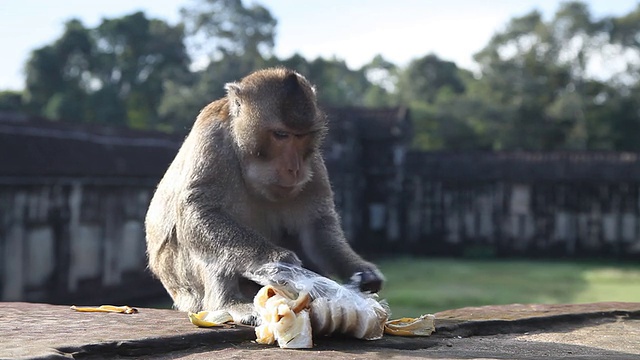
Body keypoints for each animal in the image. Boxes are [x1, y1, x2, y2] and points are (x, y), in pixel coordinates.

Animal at [145, 67, 382, 324]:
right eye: (280, 135)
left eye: (301, 136)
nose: (294, 168)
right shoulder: (213, 140)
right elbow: (198, 211)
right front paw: (277, 261)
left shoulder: (313, 161)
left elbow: (315, 226)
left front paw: (359, 271)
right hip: (185, 286)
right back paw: (230, 303)